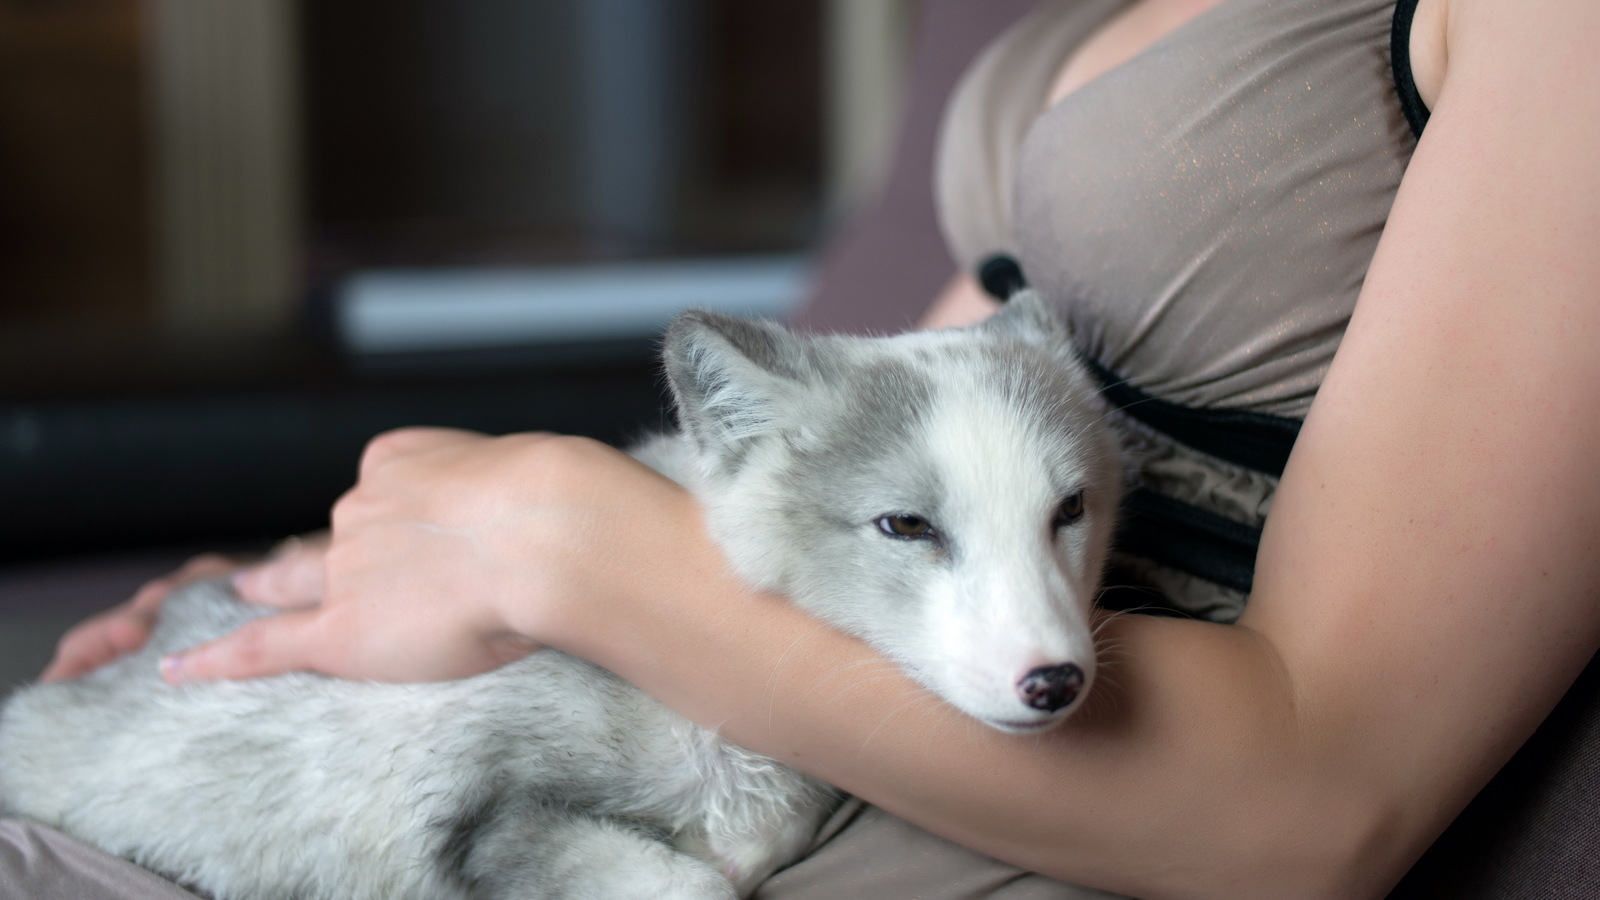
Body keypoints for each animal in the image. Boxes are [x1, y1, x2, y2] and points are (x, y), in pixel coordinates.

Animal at [0, 291, 1126, 890]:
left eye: (1069, 509)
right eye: (906, 527)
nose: (1055, 684)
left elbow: (740, 851)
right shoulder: (474, 814)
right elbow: (690, 882)